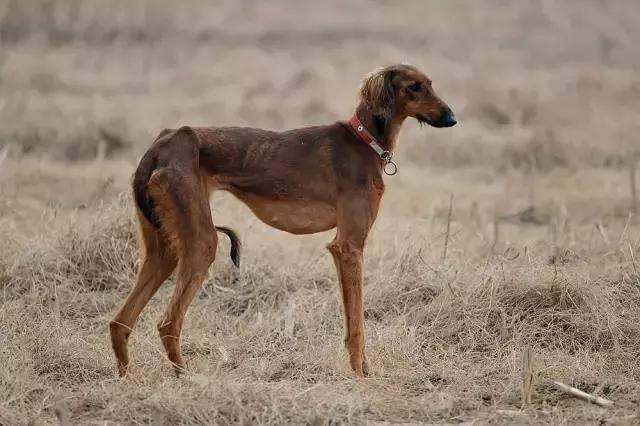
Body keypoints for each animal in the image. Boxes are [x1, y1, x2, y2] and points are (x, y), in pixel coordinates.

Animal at [112, 63, 458, 376]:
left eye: (430, 84)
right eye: (414, 87)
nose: (451, 118)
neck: (363, 142)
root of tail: (163, 143)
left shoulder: (344, 250)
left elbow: (351, 322)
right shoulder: (349, 247)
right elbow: (358, 324)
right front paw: (361, 375)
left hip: (163, 251)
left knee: (120, 322)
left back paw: (127, 379)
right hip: (201, 244)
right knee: (168, 322)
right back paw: (186, 377)